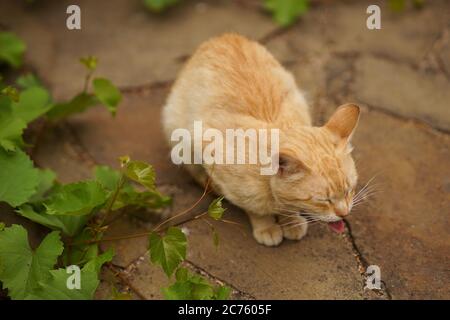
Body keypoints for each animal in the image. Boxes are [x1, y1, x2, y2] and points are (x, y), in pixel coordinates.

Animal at [162, 33, 358, 246]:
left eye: (349, 190)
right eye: (323, 200)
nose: (344, 214)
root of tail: (223, 36)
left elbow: (287, 208)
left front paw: (291, 220)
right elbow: (255, 207)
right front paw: (266, 227)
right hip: (179, 135)